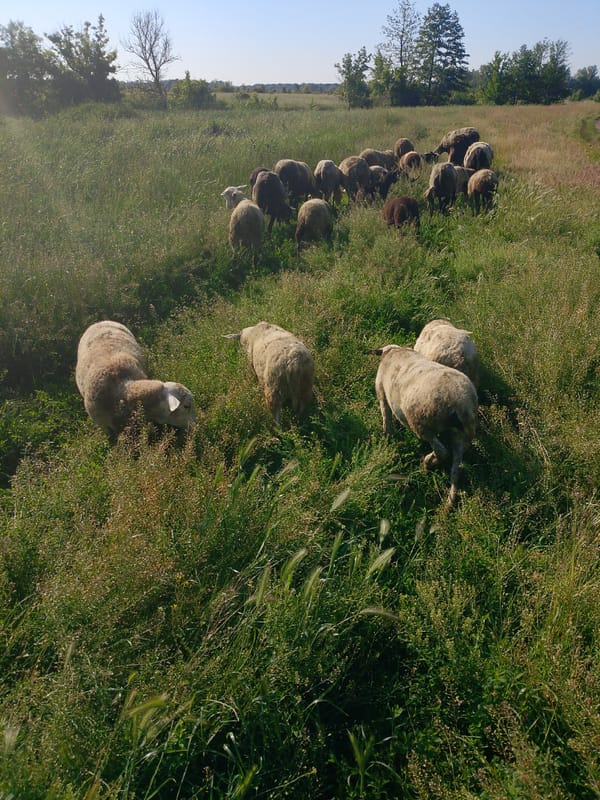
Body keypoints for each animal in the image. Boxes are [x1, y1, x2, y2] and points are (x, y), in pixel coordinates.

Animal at [368, 344, 478, 508]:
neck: (393, 351)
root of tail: (462, 404)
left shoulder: (381, 391)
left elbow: (386, 417)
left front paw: (386, 437)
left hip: (423, 423)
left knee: (442, 451)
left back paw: (427, 462)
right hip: (460, 434)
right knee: (457, 465)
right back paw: (450, 501)